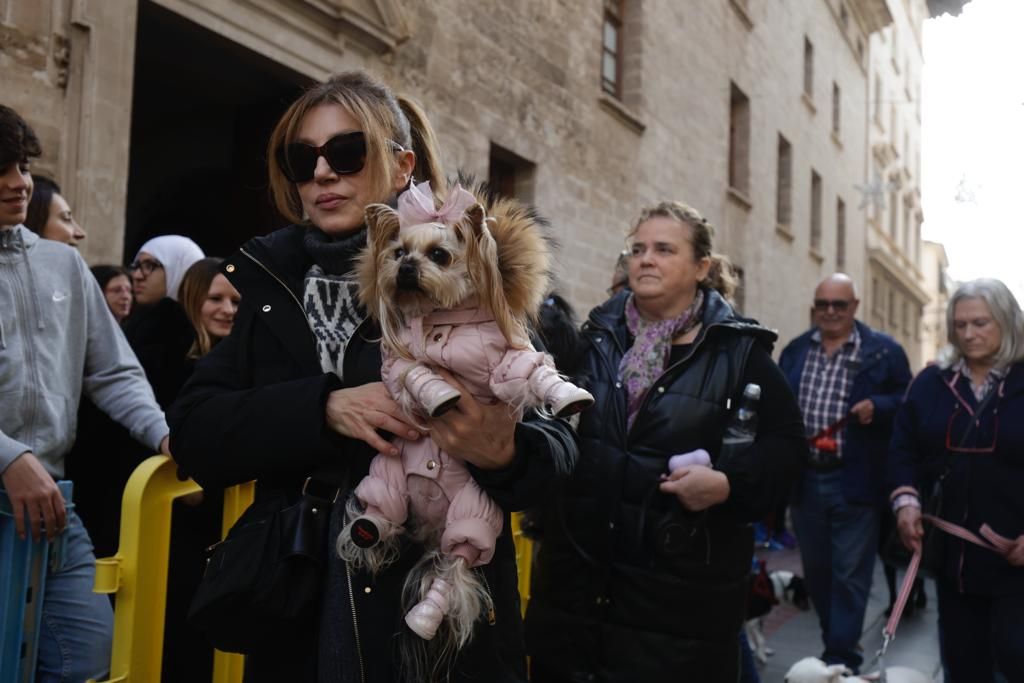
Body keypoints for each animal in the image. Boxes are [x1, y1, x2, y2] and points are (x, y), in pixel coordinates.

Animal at [335, 180, 593, 679]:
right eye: (397, 252)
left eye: (439, 255)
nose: (406, 268)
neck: (444, 318)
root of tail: (428, 525)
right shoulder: (400, 364)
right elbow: (415, 373)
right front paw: (440, 397)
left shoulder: (507, 359)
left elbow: (530, 370)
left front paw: (565, 393)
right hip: (388, 475)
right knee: (379, 512)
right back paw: (365, 533)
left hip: (476, 512)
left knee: (455, 564)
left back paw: (422, 618)